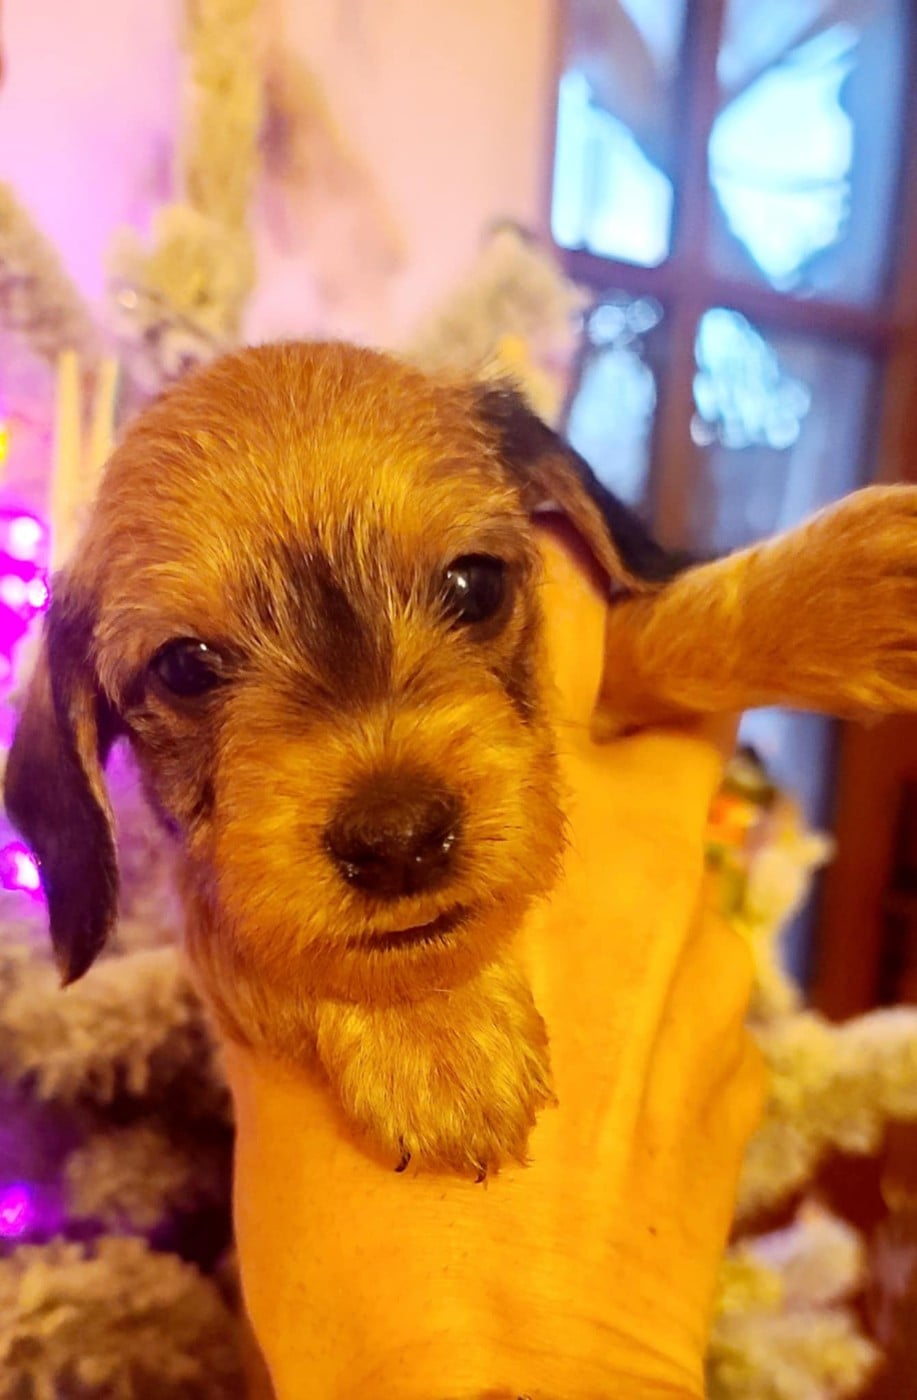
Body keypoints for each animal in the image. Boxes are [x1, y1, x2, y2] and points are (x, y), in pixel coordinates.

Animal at [5, 341, 917, 1176]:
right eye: (186, 667)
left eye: (473, 585)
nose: (399, 839)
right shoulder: (212, 892)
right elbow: (267, 937)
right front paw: (431, 1033)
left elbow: (661, 631)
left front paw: (839, 594)